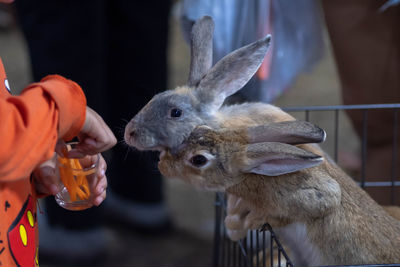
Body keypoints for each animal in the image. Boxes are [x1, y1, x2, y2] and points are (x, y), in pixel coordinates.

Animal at [159, 125, 400, 266]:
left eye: (198, 160)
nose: (162, 164)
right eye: (198, 129)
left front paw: (255, 219)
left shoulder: (316, 195)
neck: (253, 173)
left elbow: (319, 202)